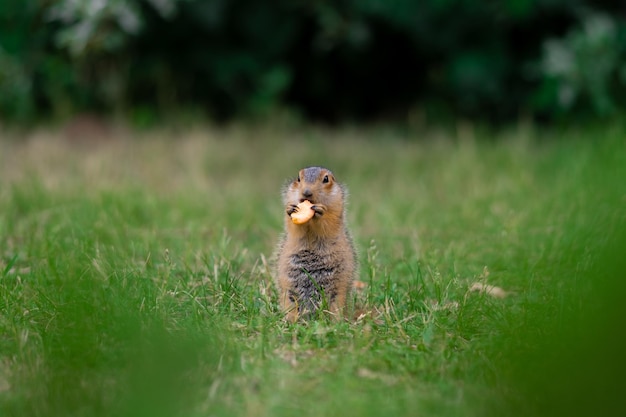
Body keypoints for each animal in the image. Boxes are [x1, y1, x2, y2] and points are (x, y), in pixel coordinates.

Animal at [274, 166, 356, 322]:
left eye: (326, 179)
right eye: (298, 178)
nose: (306, 192)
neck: (309, 221)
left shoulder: (336, 208)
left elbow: (328, 222)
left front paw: (320, 212)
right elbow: (294, 226)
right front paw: (290, 209)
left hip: (337, 294)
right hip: (290, 293)